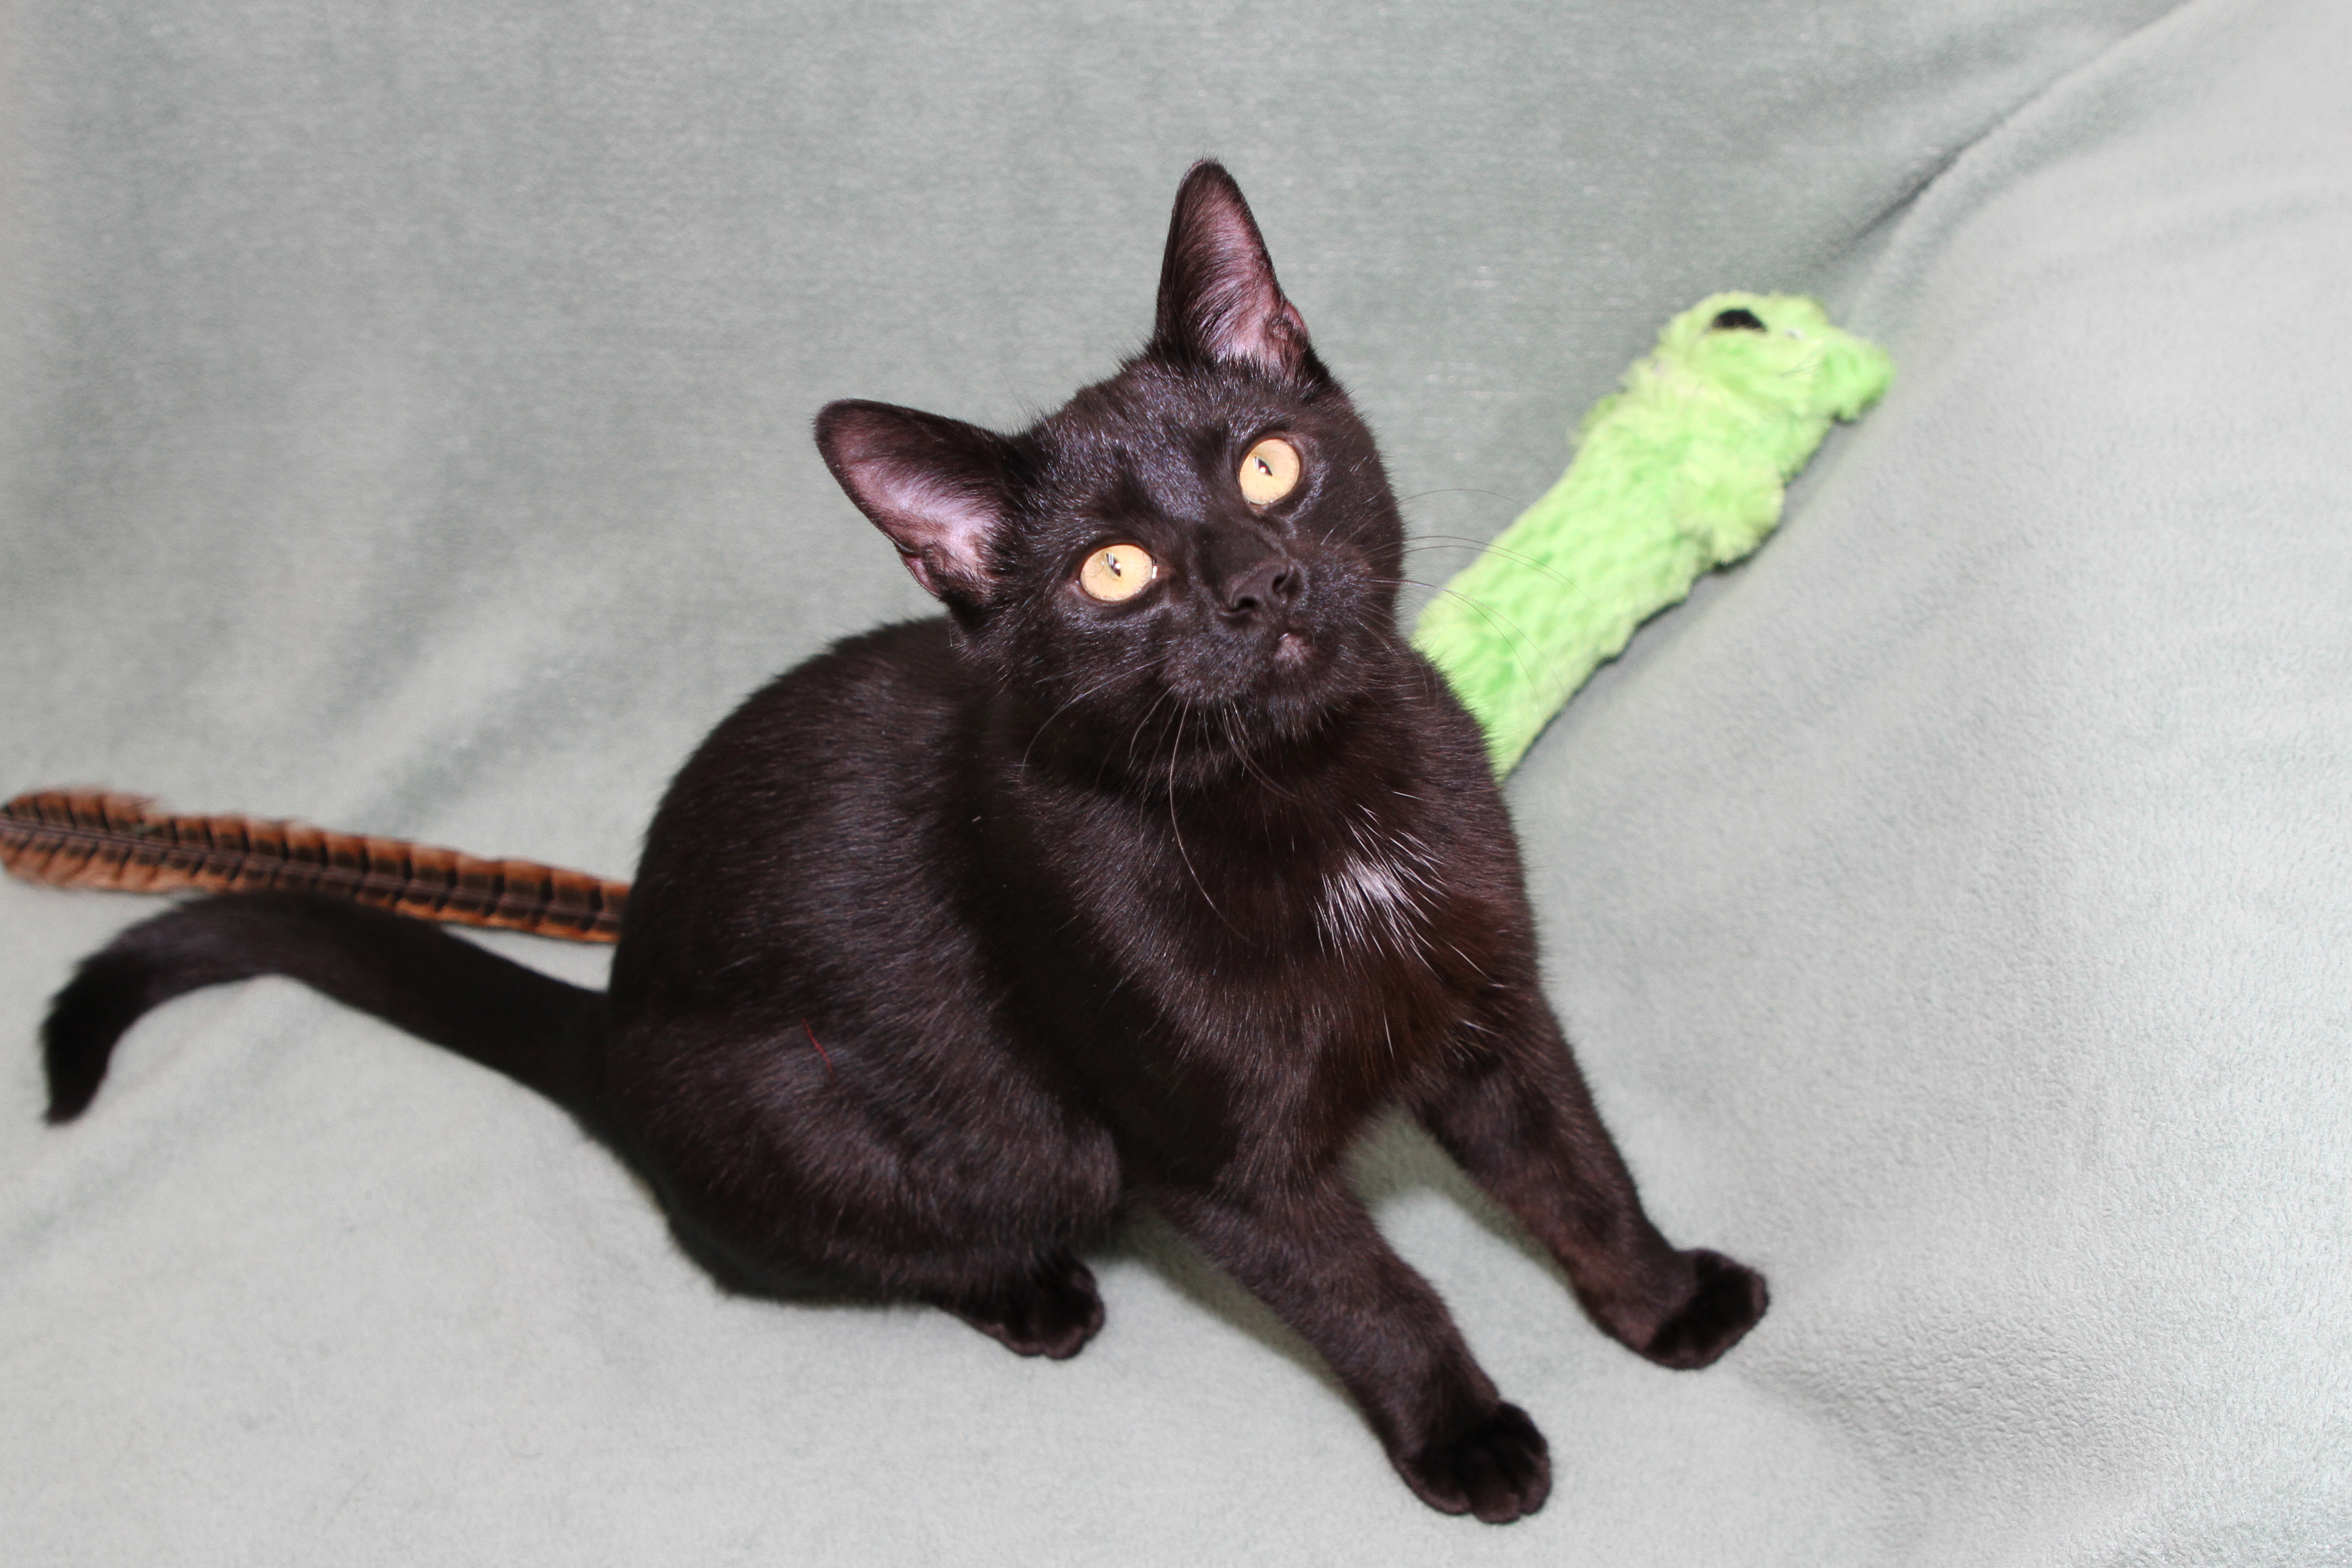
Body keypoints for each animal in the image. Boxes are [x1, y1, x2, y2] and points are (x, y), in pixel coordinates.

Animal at [39, 161, 1767, 1524]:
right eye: (1115, 572)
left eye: (1270, 462)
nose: (1257, 586)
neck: (1302, 799)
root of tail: (614, 1019)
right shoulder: (1211, 1165)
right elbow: (1374, 1289)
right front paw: (1465, 1435)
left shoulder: (1492, 1014)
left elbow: (1574, 1167)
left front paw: (1663, 1300)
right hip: (881, 1124)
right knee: (817, 1243)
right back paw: (1030, 1291)